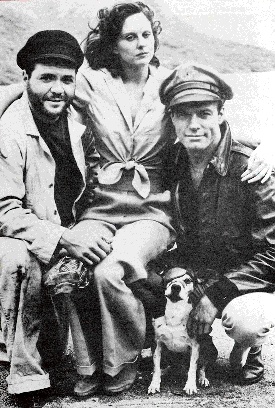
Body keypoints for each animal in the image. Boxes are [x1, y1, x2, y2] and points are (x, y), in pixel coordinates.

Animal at [148, 266, 212, 396]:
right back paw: (165, 371)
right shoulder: (156, 343)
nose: (176, 287)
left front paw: (190, 386)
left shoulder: (195, 345)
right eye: (168, 278)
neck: (175, 310)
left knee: (202, 366)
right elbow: (156, 367)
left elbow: (193, 367)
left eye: (187, 280)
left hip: (208, 344)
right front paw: (154, 384)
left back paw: (203, 379)